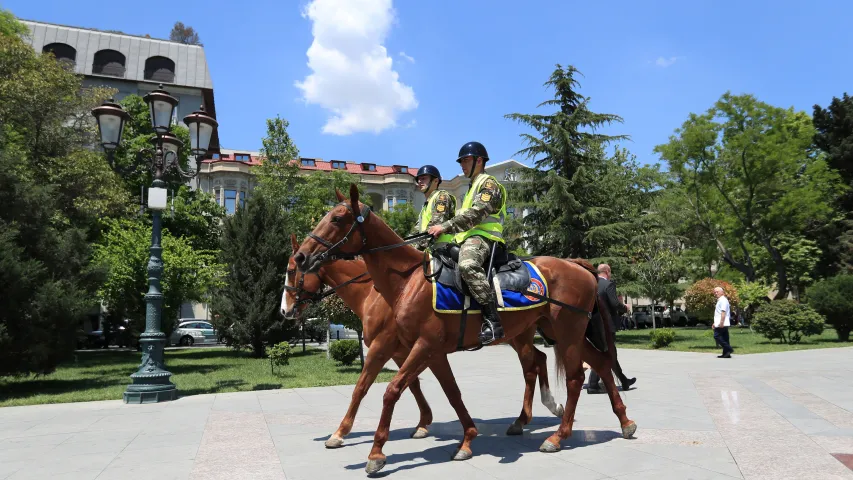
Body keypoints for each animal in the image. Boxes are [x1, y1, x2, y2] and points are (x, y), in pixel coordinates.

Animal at [282, 234, 564, 448]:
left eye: (292, 270)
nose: (285, 311)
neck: (377, 292)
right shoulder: (404, 350)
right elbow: (413, 384)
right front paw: (423, 423)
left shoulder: (386, 346)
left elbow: (367, 386)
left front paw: (341, 432)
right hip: (518, 335)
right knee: (536, 360)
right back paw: (537, 413)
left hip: (518, 336)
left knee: (531, 364)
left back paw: (538, 413)